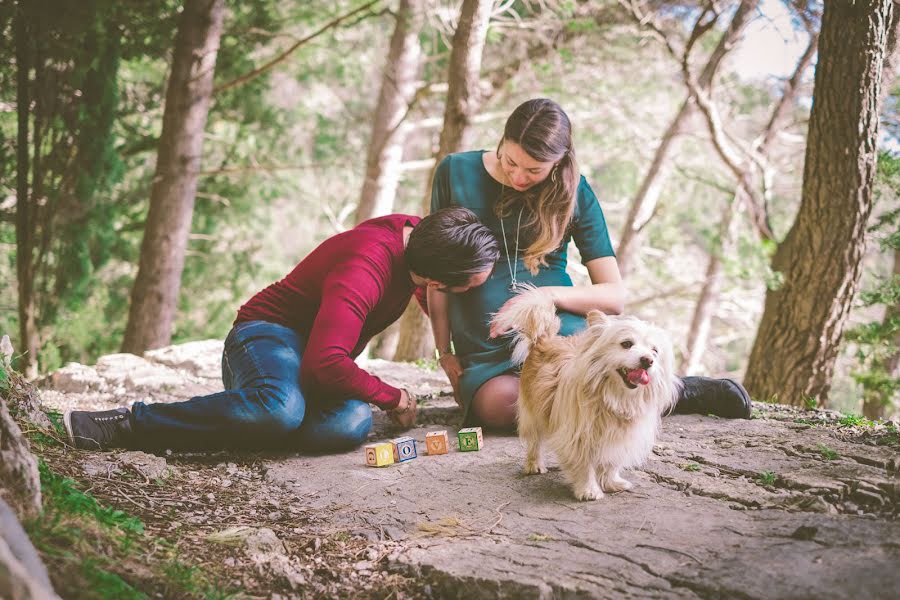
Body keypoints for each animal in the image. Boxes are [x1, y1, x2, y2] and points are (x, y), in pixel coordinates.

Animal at [492, 288, 684, 502]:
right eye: (626, 344)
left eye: (654, 351)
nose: (647, 360)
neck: (614, 397)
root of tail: (543, 339)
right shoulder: (578, 437)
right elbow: (584, 466)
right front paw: (588, 490)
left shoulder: (616, 439)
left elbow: (610, 464)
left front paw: (611, 483)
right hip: (533, 413)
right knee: (534, 441)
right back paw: (534, 464)